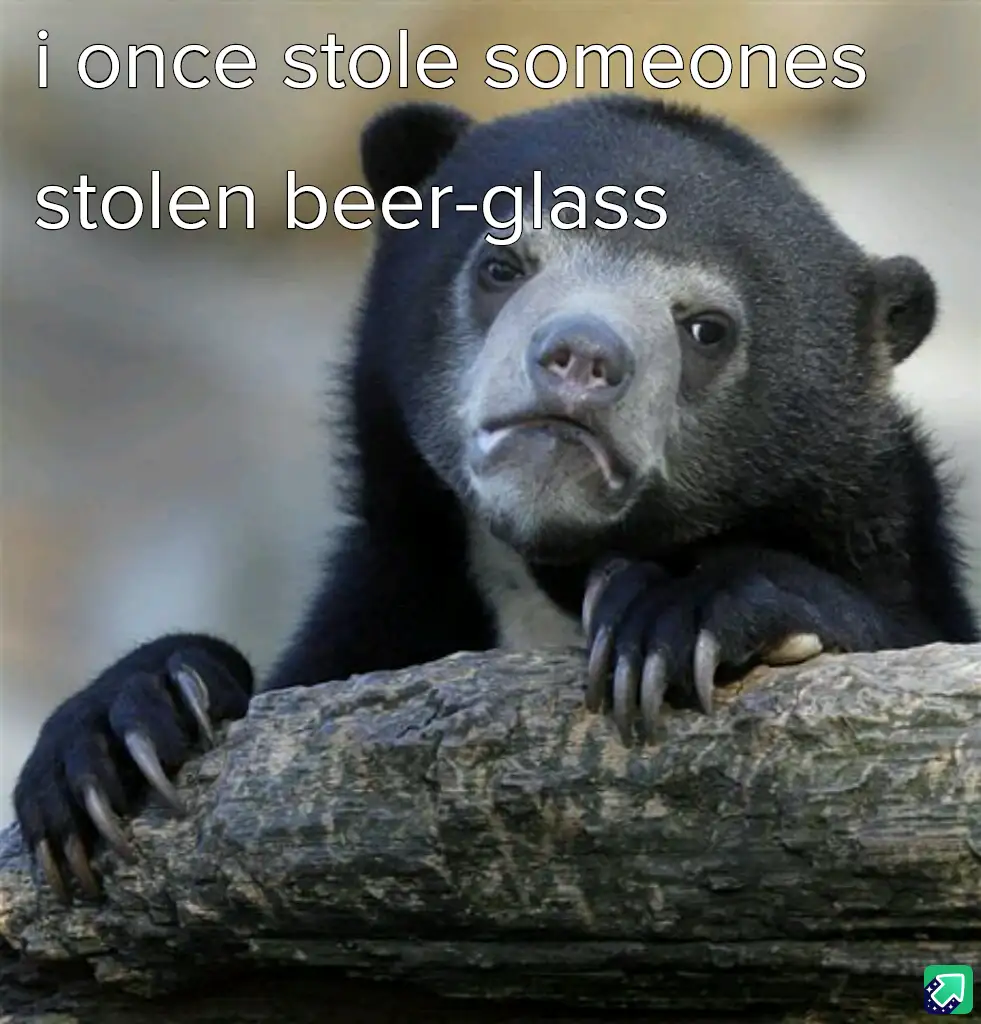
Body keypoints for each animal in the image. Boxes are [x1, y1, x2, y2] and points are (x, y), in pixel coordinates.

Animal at [12, 96, 979, 903]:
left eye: (706, 328)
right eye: (502, 264)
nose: (581, 358)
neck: (546, 574)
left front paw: (673, 615)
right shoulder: (396, 593)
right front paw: (118, 733)